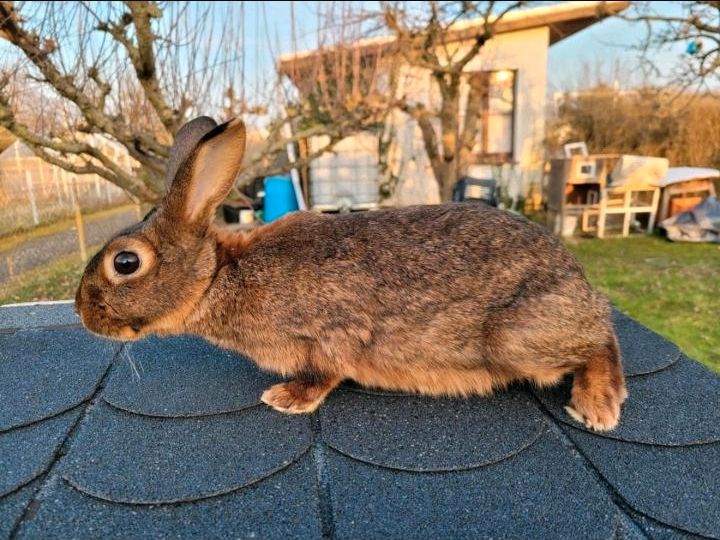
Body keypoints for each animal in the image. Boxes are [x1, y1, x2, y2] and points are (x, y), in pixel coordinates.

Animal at [73, 117, 624, 430]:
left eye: (126, 262)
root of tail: (577, 279)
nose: (81, 312)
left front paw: (286, 398)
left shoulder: (334, 333)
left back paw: (598, 406)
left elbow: (327, 371)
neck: (219, 276)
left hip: (520, 336)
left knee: (601, 338)